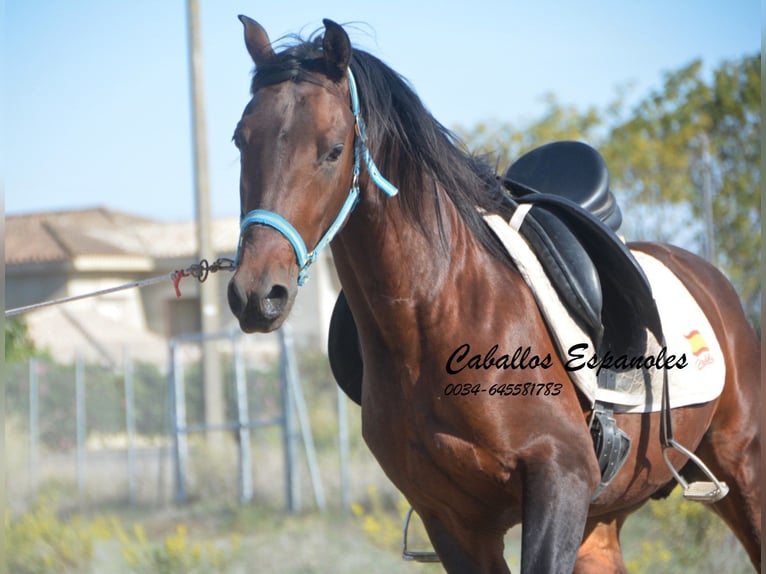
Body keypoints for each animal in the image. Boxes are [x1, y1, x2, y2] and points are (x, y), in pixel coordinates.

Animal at [228, 15, 760, 572]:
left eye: (333, 150)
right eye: (241, 141)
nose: (258, 293)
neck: (436, 319)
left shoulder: (560, 480)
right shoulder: (453, 522)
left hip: (743, 468)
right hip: (601, 522)